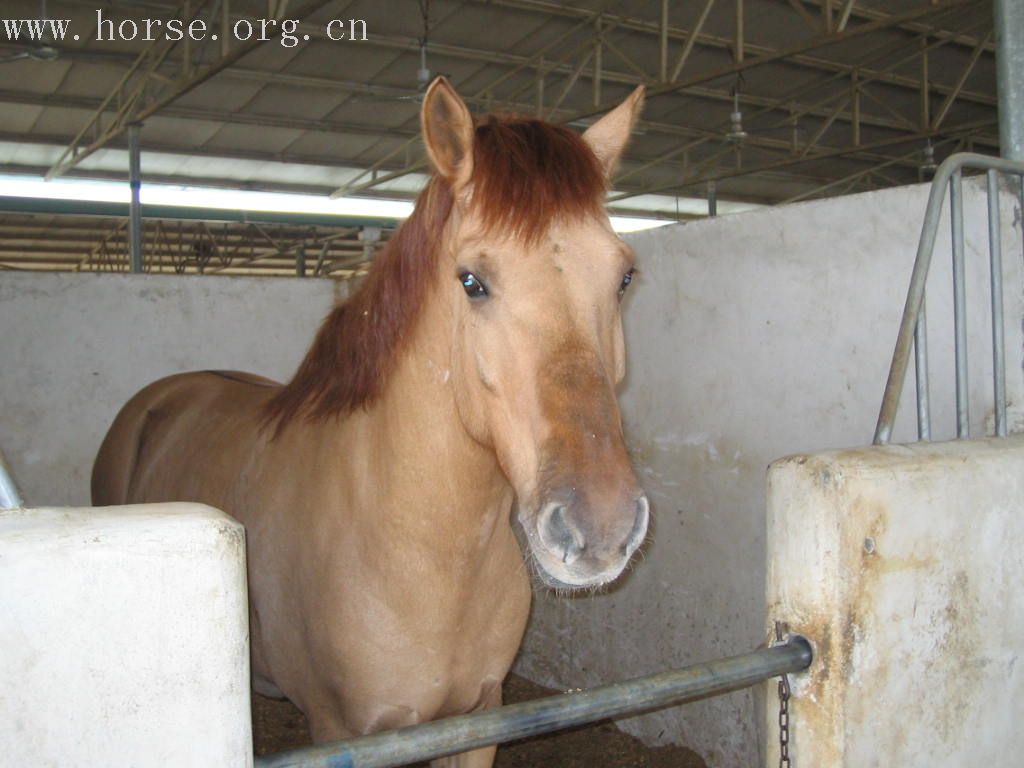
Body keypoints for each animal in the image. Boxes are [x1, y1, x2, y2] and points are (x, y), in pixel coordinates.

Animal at [94, 78, 647, 768]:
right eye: (472, 281)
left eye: (623, 277)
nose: (601, 525)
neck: (424, 558)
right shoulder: (343, 731)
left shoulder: (479, 720)